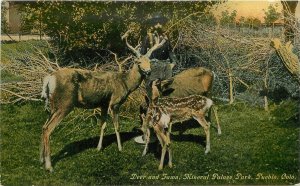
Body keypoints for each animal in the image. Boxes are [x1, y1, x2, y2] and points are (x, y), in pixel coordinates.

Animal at [39, 30, 166, 171]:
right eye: (138, 62)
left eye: (149, 61)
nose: (148, 71)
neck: (125, 83)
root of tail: (49, 79)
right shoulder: (114, 102)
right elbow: (117, 126)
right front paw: (120, 148)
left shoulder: (103, 104)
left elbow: (103, 125)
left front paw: (99, 147)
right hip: (65, 104)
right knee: (48, 128)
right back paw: (49, 165)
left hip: (53, 105)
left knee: (43, 126)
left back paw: (41, 159)